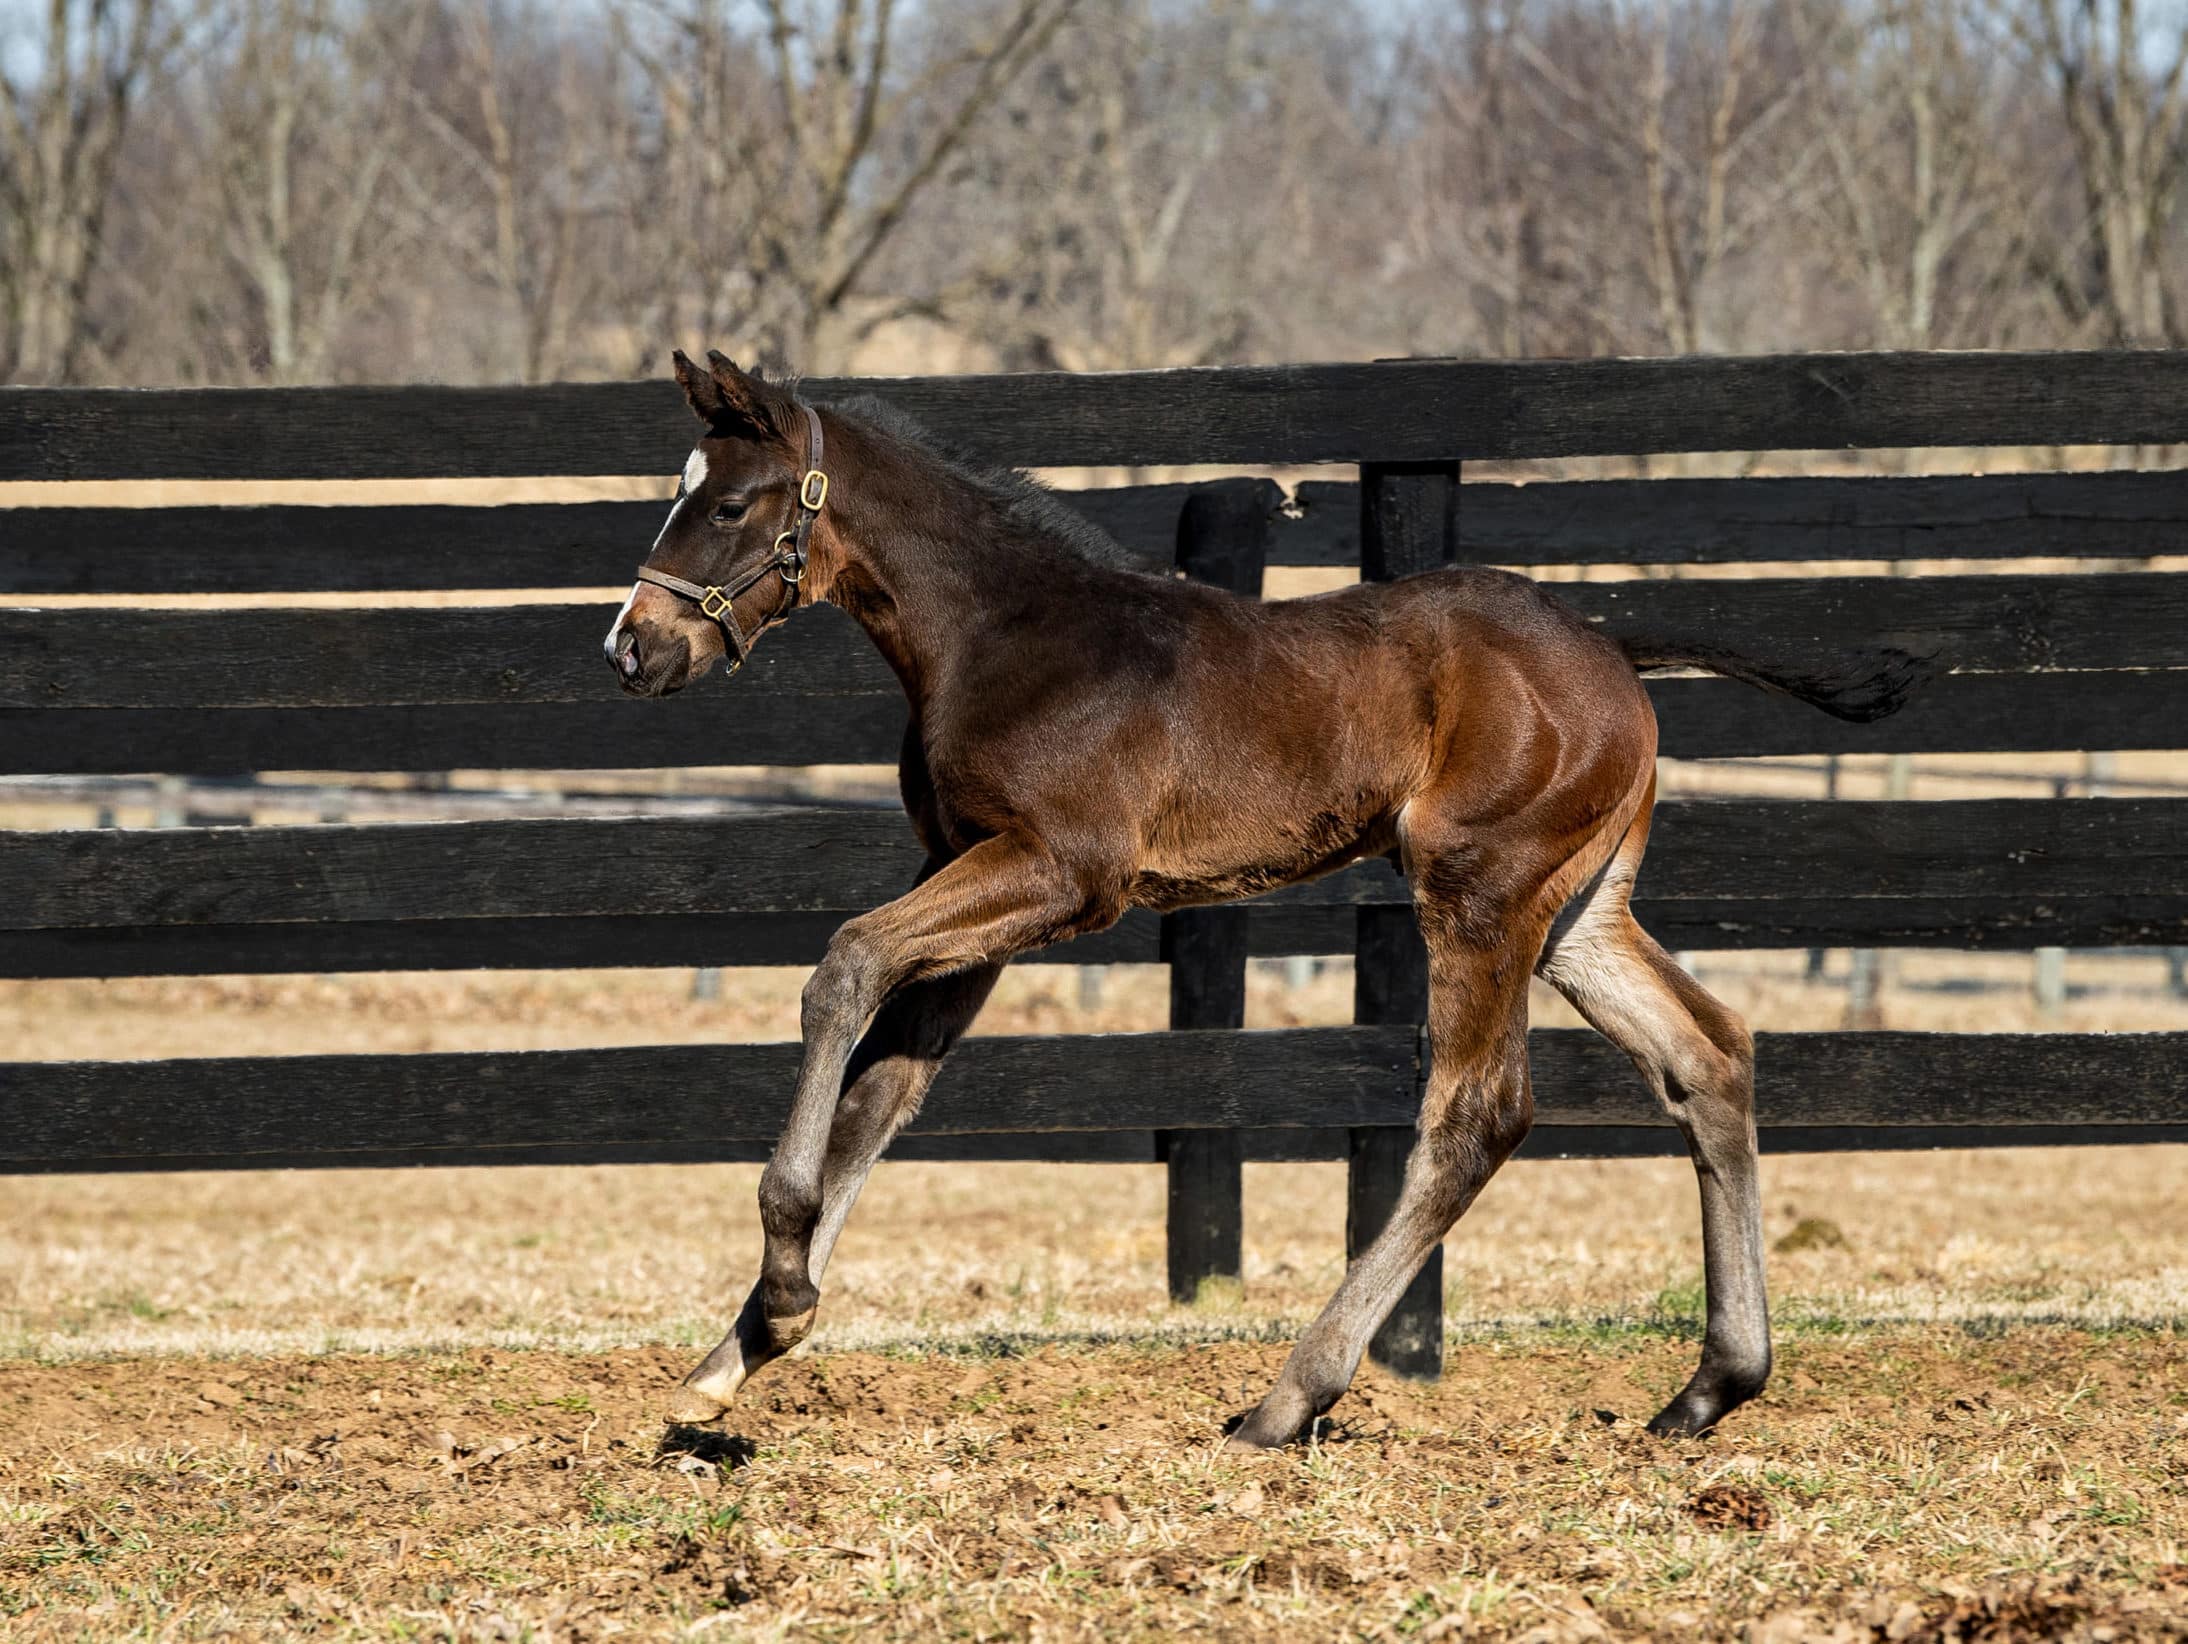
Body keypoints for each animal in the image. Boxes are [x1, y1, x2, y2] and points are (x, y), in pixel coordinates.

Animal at [599, 350, 1916, 1453]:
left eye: (728, 505)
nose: (632, 650)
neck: (1005, 638)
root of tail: (1611, 650)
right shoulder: (976, 883)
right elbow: (883, 1092)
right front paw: (736, 1355)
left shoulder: (1064, 876)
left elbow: (841, 969)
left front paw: (779, 1287)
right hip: (1578, 914)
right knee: (1709, 1055)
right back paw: (1709, 1388)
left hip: (1480, 893)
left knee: (1478, 1115)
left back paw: (1287, 1400)